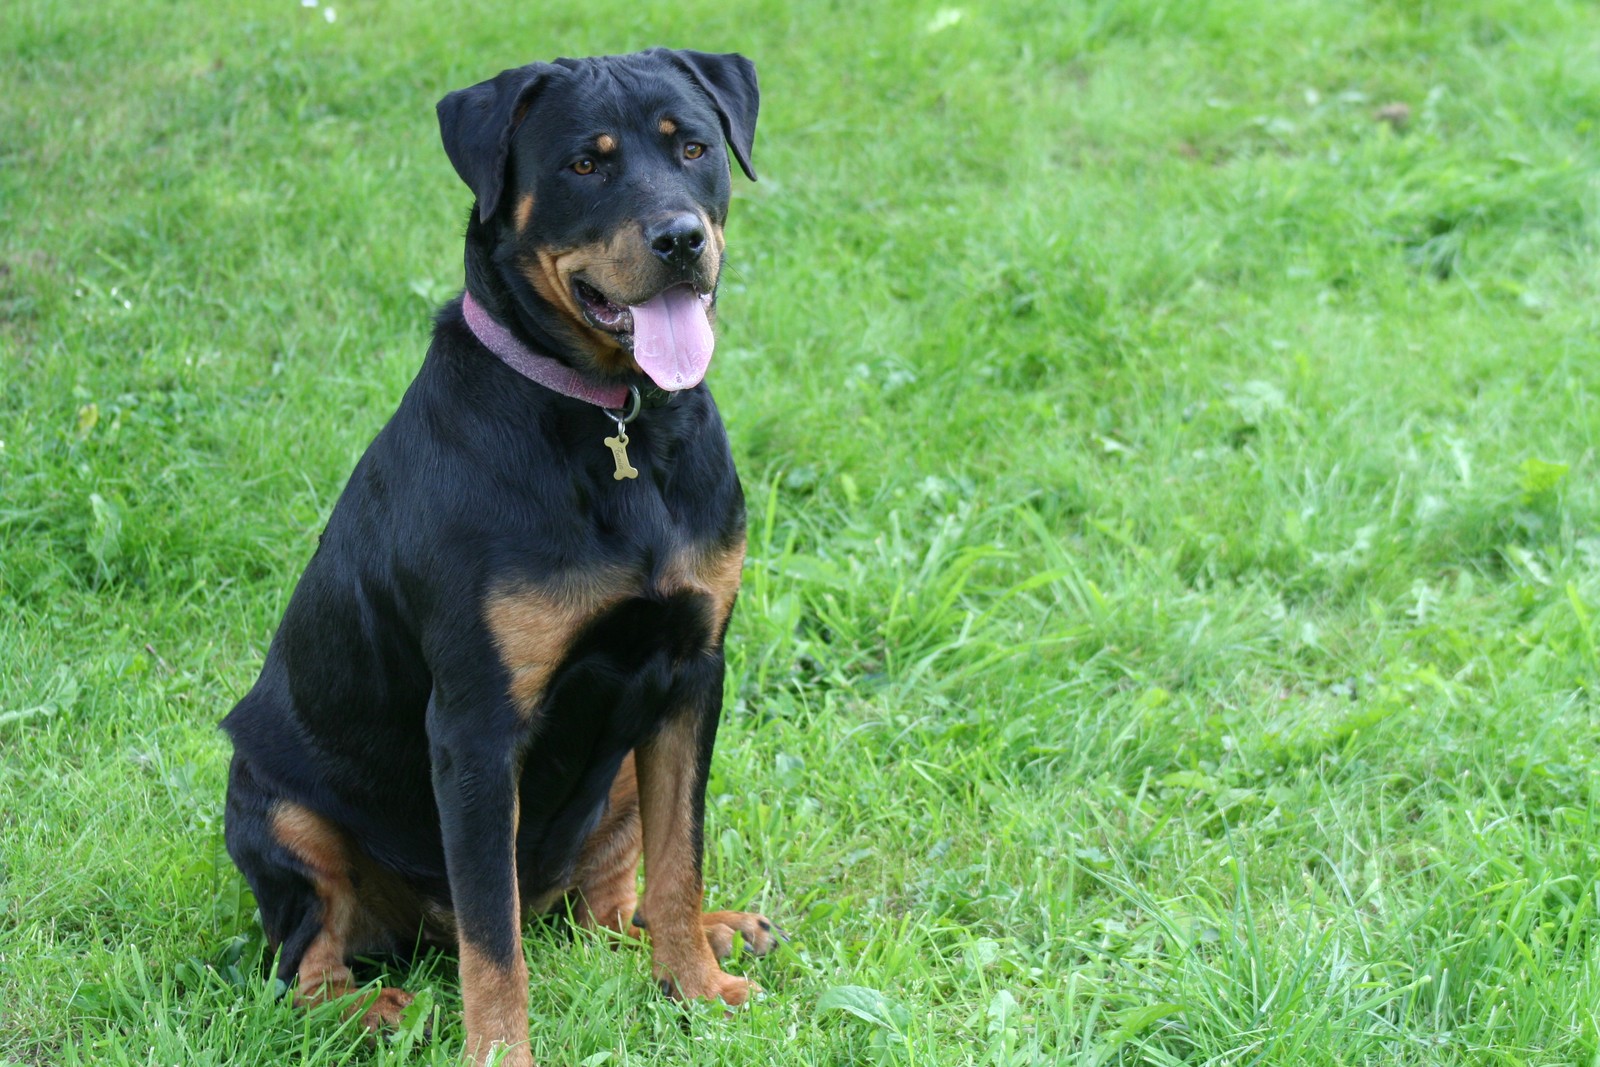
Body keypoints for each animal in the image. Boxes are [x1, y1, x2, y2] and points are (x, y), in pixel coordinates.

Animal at [220, 49, 780, 1067]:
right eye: (584, 165)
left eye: (693, 146)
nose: (680, 238)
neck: (612, 423)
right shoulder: (477, 726)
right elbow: (494, 941)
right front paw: (500, 1053)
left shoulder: (692, 673)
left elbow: (680, 859)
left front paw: (697, 986)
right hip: (279, 805)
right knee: (305, 968)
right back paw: (377, 1008)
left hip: (620, 781)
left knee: (607, 908)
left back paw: (714, 931)